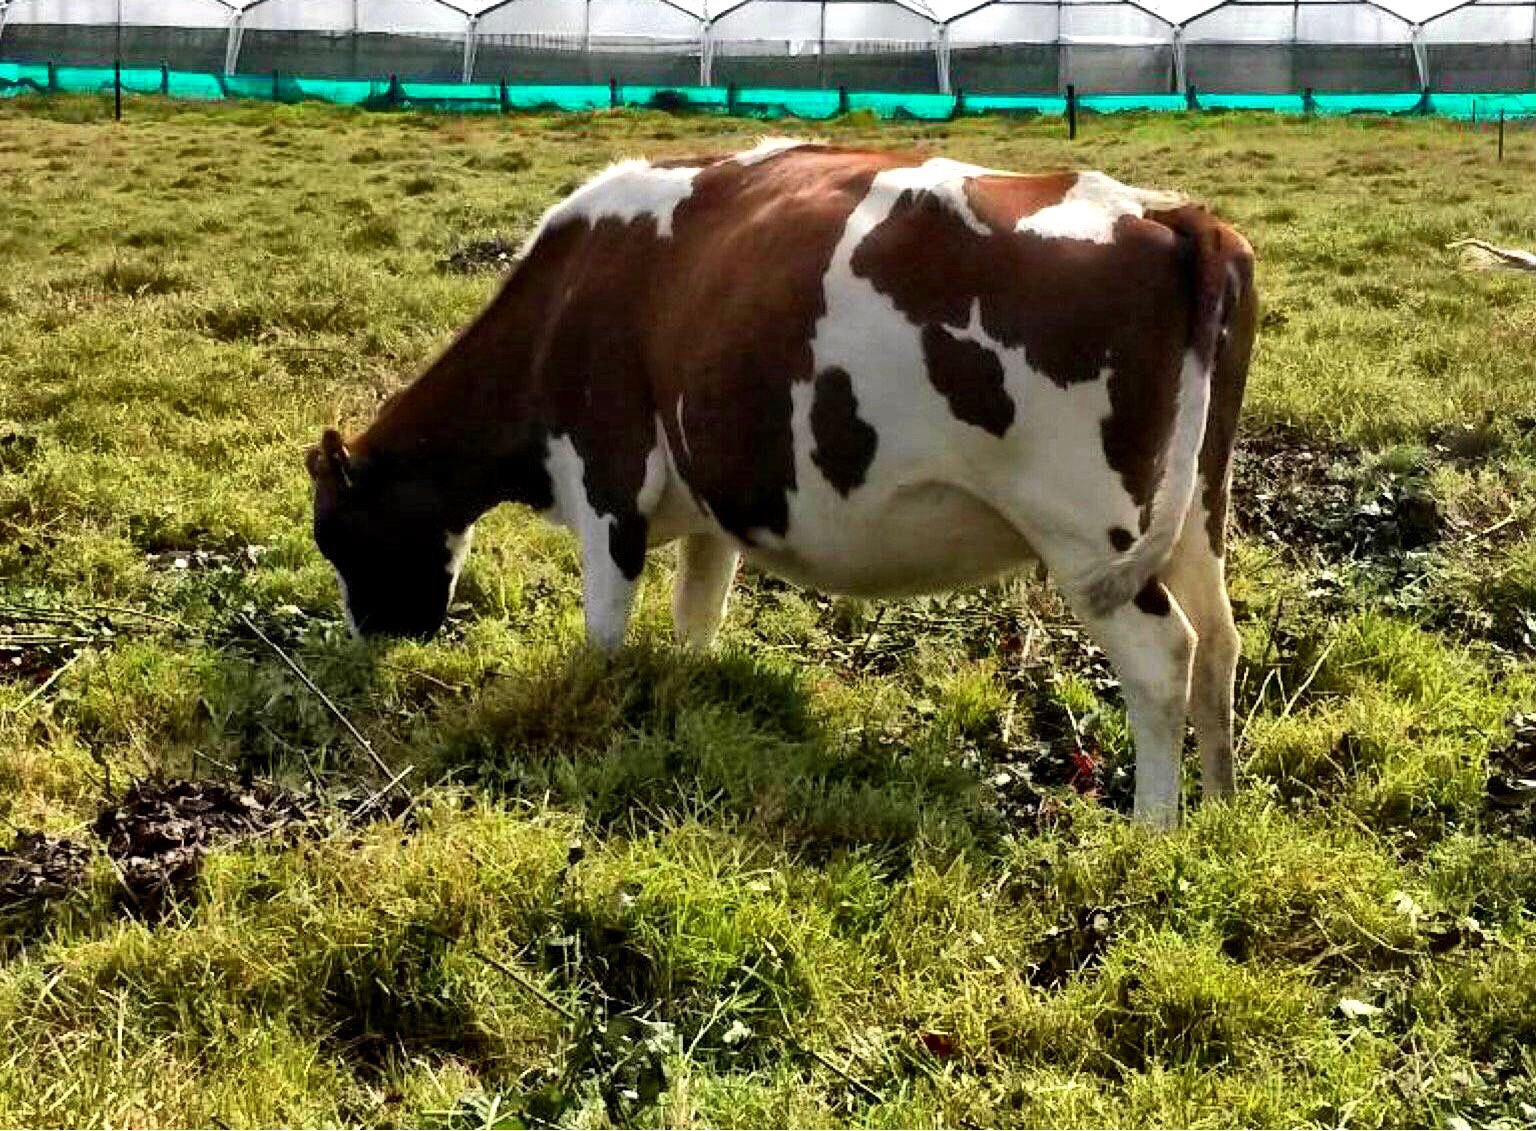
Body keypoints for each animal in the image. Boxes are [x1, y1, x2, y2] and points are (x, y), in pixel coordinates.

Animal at [308, 143, 1259, 829]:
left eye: (337, 537)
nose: (373, 643)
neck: (564, 301)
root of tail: (1168, 215)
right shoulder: (709, 506)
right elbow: (696, 620)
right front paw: (687, 705)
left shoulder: (607, 479)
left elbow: (605, 636)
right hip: (1195, 510)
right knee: (1218, 642)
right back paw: (1216, 811)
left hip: (1085, 529)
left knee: (1163, 658)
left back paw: (1152, 830)